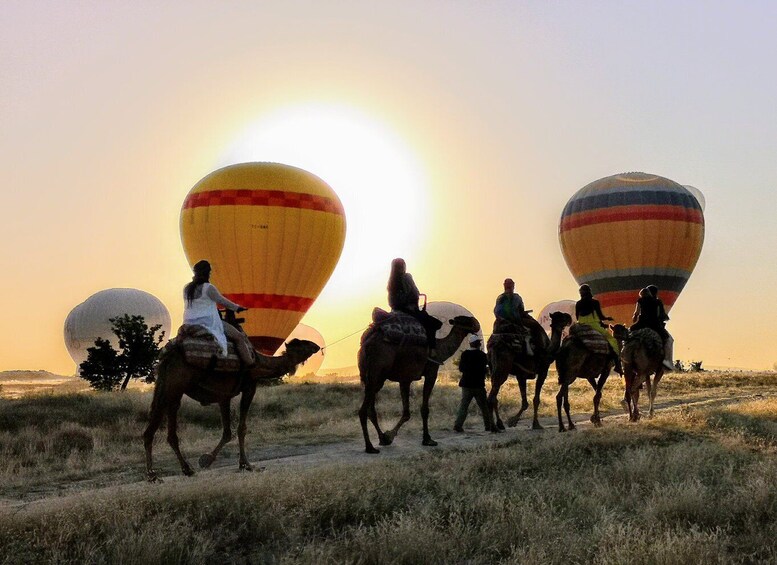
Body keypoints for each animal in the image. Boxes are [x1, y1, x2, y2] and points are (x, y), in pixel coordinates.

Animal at [142, 338, 318, 478]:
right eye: (304, 344)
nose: (316, 346)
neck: (259, 363)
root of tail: (168, 356)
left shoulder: (224, 396)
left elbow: (227, 432)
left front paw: (207, 459)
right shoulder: (249, 387)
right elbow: (241, 428)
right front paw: (246, 465)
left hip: (168, 388)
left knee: (159, 427)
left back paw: (167, 472)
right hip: (175, 386)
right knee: (162, 427)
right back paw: (165, 472)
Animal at [358, 310, 478, 452]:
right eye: (464, 320)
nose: (476, 324)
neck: (440, 349)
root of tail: (367, 344)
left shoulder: (405, 378)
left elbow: (406, 412)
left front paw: (388, 436)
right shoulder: (431, 372)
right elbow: (424, 409)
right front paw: (427, 439)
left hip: (373, 378)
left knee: (371, 409)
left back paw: (381, 439)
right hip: (377, 371)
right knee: (363, 410)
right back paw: (370, 447)